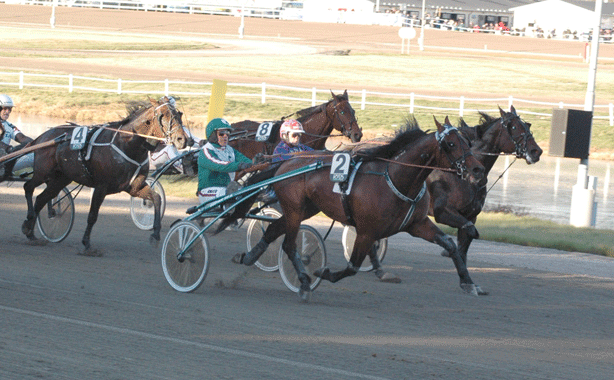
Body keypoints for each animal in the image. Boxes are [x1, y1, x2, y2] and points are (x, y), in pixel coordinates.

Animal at [21, 96, 188, 254]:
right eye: (163, 114)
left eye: (179, 114)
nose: (183, 139)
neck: (127, 143)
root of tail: (43, 136)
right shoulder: (101, 186)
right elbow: (92, 215)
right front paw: (87, 244)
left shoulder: (134, 187)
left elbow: (157, 198)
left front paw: (155, 235)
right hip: (43, 172)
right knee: (28, 187)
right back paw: (28, 220)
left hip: (61, 178)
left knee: (41, 198)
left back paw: (30, 232)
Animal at [215, 115, 486, 300]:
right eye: (451, 144)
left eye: (466, 140)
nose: (477, 170)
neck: (395, 178)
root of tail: (287, 162)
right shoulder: (367, 231)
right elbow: (353, 266)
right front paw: (324, 273)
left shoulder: (417, 224)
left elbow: (450, 245)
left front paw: (469, 282)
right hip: (293, 208)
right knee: (289, 244)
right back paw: (303, 281)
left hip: (304, 209)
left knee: (273, 231)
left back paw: (248, 256)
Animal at [428, 104, 544, 264]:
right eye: (513, 127)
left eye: (527, 125)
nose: (536, 151)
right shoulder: (443, 212)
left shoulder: (471, 216)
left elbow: (464, 247)